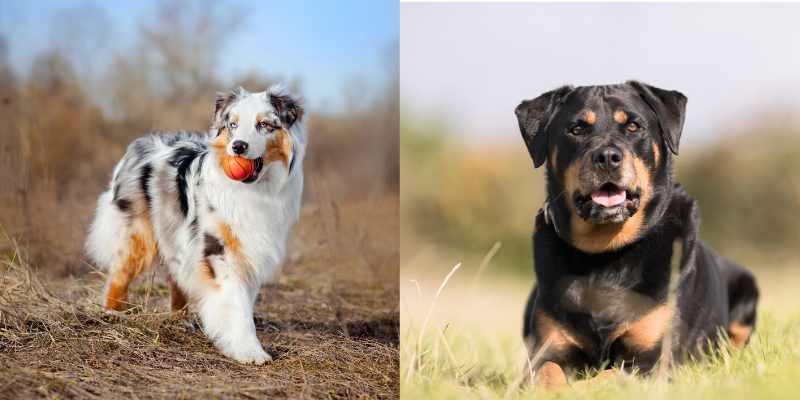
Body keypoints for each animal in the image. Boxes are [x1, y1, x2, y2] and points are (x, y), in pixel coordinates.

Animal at [84, 86, 304, 364]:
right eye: (233, 125)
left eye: (264, 124)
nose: (238, 147)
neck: (254, 191)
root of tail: (141, 142)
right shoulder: (219, 249)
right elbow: (237, 304)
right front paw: (249, 351)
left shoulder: (249, 251)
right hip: (139, 234)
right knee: (119, 274)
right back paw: (112, 313)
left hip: (176, 235)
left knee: (176, 276)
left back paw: (180, 319)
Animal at [516, 80, 760, 388]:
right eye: (577, 129)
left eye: (633, 126)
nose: (607, 157)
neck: (604, 254)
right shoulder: (548, 348)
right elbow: (548, 371)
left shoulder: (656, 358)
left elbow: (606, 377)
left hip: (747, 289)